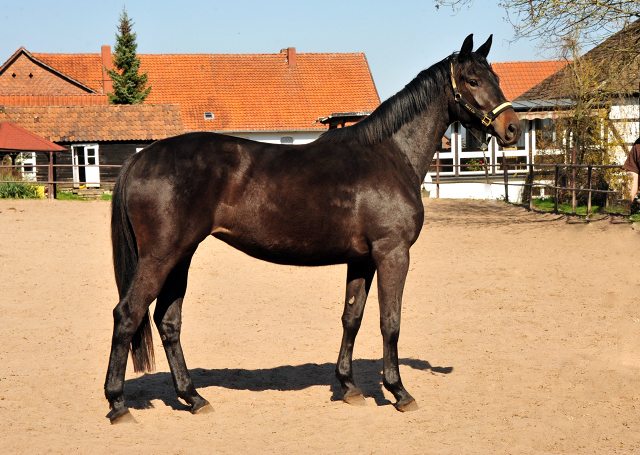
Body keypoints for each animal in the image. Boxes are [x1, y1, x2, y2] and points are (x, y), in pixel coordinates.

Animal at [105, 34, 524, 424]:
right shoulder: (392, 254)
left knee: (167, 321)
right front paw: (399, 391)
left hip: (181, 256)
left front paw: (350, 386)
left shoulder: (362, 260)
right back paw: (118, 405)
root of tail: (141, 158)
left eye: (496, 77)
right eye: (472, 80)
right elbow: (390, 322)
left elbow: (352, 318)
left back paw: (193, 398)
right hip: (161, 256)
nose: (513, 129)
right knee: (128, 314)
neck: (389, 154)